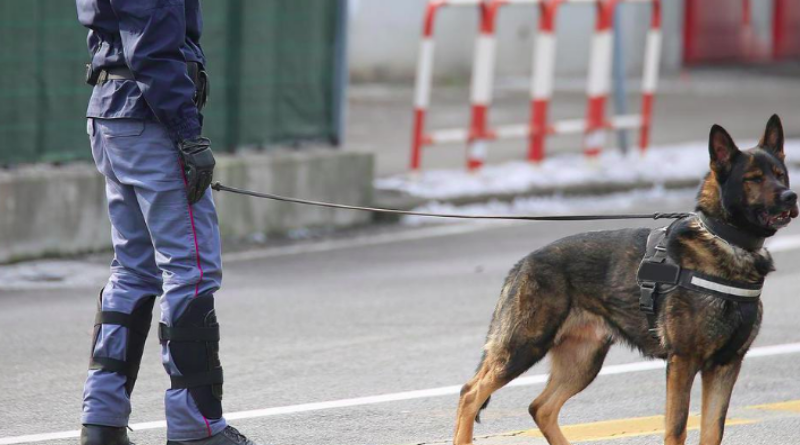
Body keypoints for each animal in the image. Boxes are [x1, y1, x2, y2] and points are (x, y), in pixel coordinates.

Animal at [454, 115, 796, 444]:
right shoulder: (683, 361)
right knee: (471, 393)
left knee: (541, 407)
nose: (791, 196)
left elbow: (713, 431)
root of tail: (522, 263)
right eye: (754, 178)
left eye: (781, 174)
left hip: (582, 362)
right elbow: (677, 428)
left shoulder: (726, 366)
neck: (725, 239)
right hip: (525, 346)